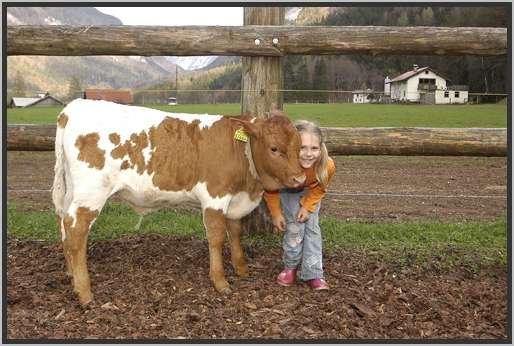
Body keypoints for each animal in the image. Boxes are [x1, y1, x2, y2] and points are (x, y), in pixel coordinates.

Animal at [52, 98, 304, 304]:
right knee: (76, 231)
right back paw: (84, 292)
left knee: (65, 224)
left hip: (73, 191)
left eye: (299, 146)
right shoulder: (215, 197)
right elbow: (216, 238)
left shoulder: (234, 200)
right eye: (274, 148)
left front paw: (241, 268)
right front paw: (220, 281)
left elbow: (235, 232)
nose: (299, 178)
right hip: (91, 193)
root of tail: (75, 107)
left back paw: (71, 274)